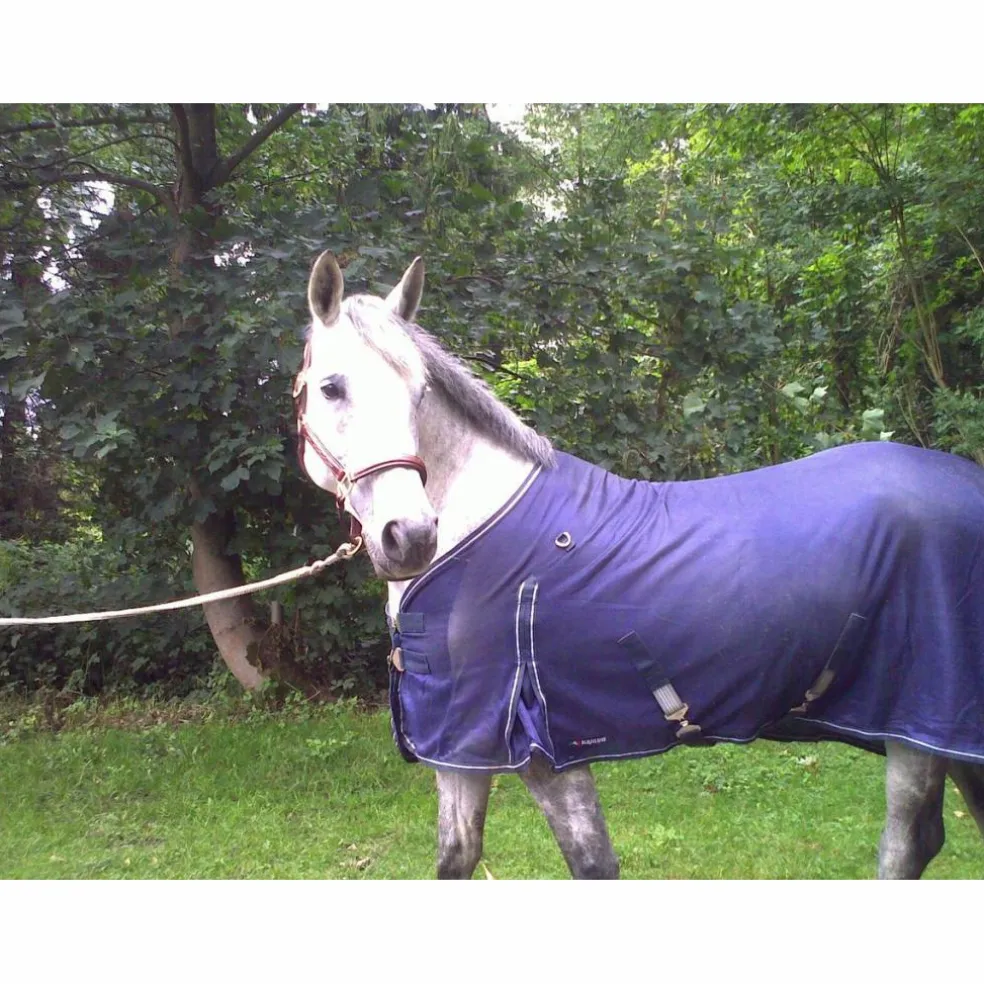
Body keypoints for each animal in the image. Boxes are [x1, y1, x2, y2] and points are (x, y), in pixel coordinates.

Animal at [292, 250, 984, 879]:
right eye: (332, 387)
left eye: (419, 394)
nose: (409, 536)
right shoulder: (462, 749)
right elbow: (455, 860)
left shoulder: (542, 755)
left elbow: (592, 864)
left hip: (918, 723)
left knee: (905, 846)